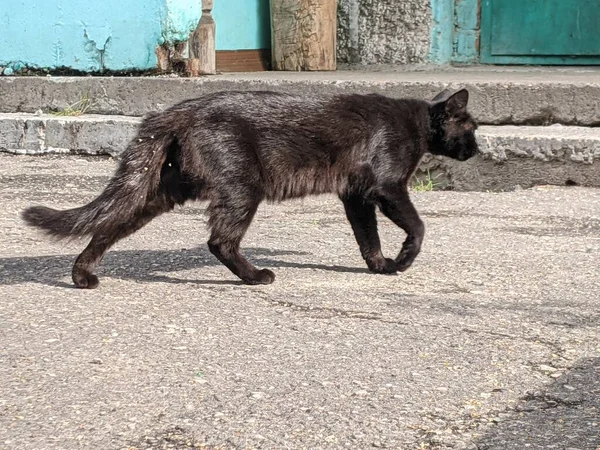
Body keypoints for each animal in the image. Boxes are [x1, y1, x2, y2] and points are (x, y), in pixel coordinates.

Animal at [21, 88, 478, 286]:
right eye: (472, 127)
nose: (476, 149)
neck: (417, 122)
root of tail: (178, 109)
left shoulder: (356, 195)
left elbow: (368, 237)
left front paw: (379, 265)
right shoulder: (386, 187)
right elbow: (417, 226)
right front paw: (403, 260)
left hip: (161, 192)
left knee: (107, 225)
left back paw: (82, 275)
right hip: (243, 187)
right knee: (220, 241)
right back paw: (255, 276)